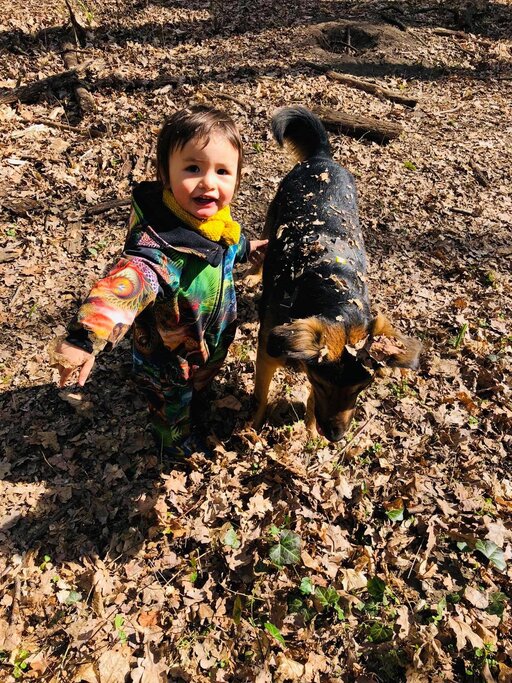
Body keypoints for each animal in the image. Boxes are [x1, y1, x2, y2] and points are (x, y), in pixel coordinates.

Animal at [253, 106, 421, 442]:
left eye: (362, 387)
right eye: (323, 383)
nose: (336, 436)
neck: (334, 294)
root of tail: (322, 158)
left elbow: (307, 403)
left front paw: (309, 430)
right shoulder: (267, 352)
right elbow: (260, 396)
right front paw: (250, 426)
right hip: (272, 215)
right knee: (262, 245)